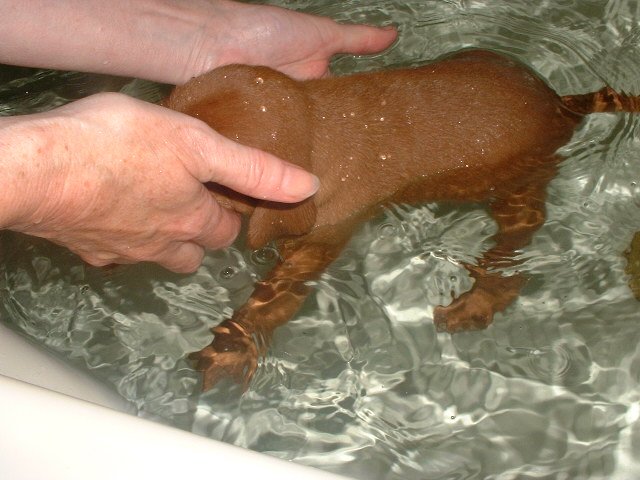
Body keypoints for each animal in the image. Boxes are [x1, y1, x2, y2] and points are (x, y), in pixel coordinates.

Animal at [166, 48, 640, 390]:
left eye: (205, 175)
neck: (320, 127)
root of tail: (562, 105)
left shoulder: (320, 239)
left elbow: (269, 299)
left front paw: (230, 348)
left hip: (519, 186)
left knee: (515, 251)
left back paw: (477, 302)